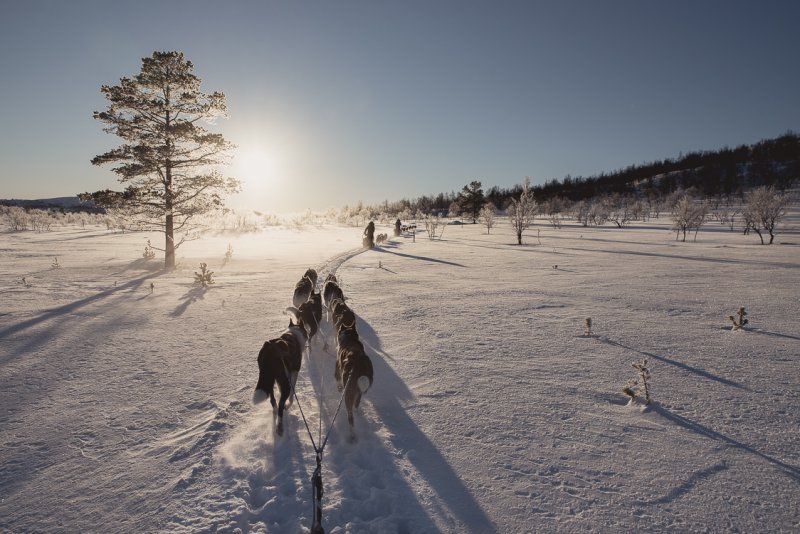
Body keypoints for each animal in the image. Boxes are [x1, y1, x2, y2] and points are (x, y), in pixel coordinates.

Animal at [255, 308, 308, 438]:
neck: (293, 334)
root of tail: (270, 349)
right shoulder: (293, 373)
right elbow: (292, 395)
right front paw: (288, 405)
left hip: (269, 378)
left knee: (273, 400)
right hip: (284, 381)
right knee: (280, 406)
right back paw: (280, 426)